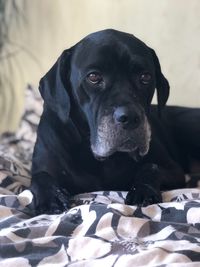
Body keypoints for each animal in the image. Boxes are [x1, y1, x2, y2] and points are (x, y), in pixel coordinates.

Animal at [30, 28, 200, 215]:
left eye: (145, 76)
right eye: (94, 76)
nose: (131, 118)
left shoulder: (173, 170)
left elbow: (151, 167)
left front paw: (143, 190)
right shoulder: (45, 164)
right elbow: (39, 178)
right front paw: (51, 198)